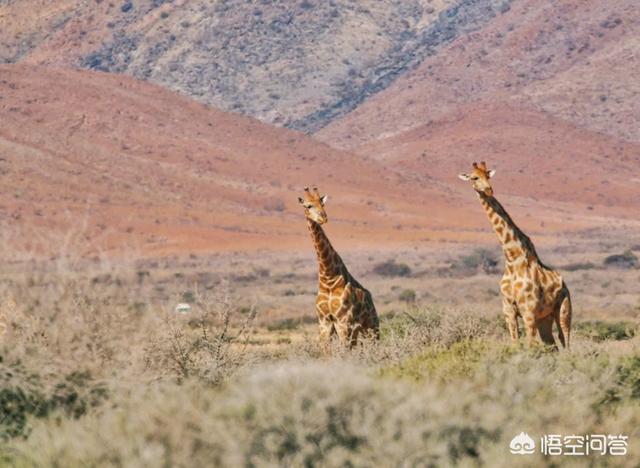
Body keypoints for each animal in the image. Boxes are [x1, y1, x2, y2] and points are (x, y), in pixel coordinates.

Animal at [296, 187, 378, 348]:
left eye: (322, 204)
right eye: (309, 206)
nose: (323, 218)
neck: (328, 278)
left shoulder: (343, 322)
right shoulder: (324, 323)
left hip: (371, 327)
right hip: (357, 331)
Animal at [458, 163, 572, 350]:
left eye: (488, 175)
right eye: (474, 177)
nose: (489, 190)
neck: (512, 258)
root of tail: (564, 284)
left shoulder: (528, 311)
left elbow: (529, 345)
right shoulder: (508, 310)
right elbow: (515, 344)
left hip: (563, 309)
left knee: (566, 342)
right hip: (544, 318)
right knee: (553, 345)